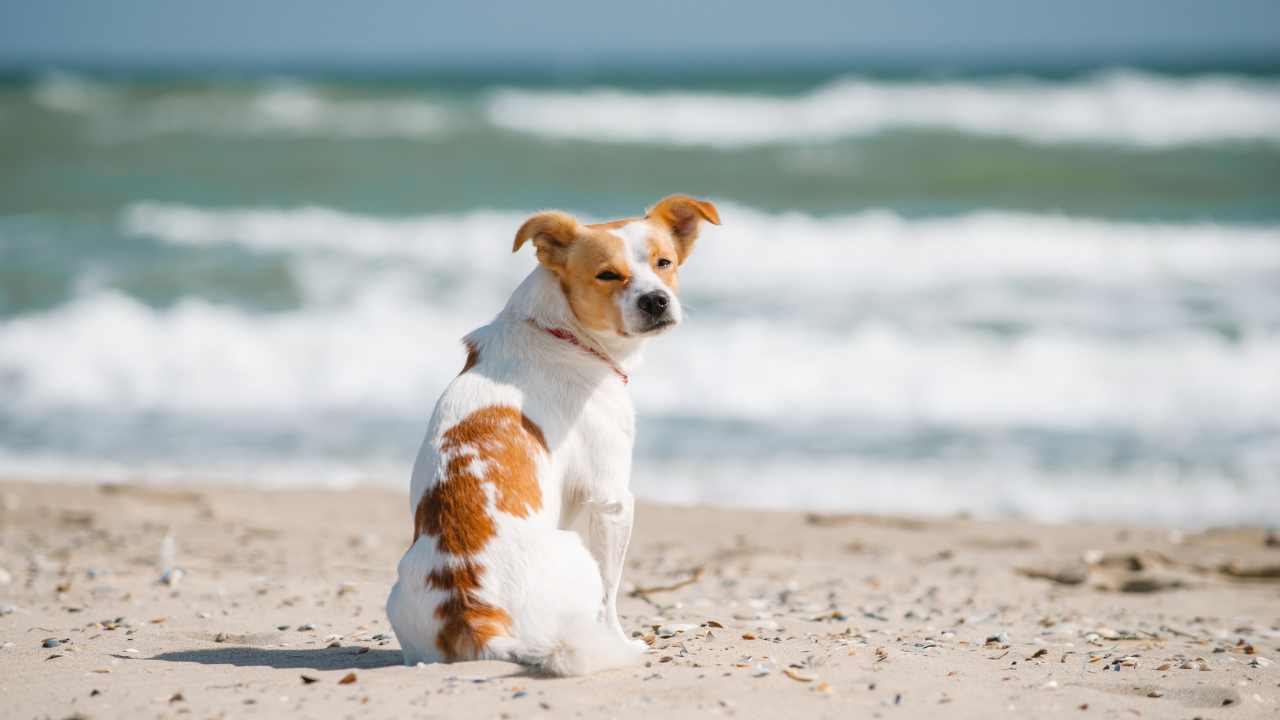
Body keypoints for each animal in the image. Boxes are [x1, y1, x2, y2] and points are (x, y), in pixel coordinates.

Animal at [384, 192, 721, 671]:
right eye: (607, 274)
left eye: (664, 262)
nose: (656, 300)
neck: (561, 332)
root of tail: (476, 616)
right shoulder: (613, 501)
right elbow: (610, 598)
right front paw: (622, 640)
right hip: (577, 551)